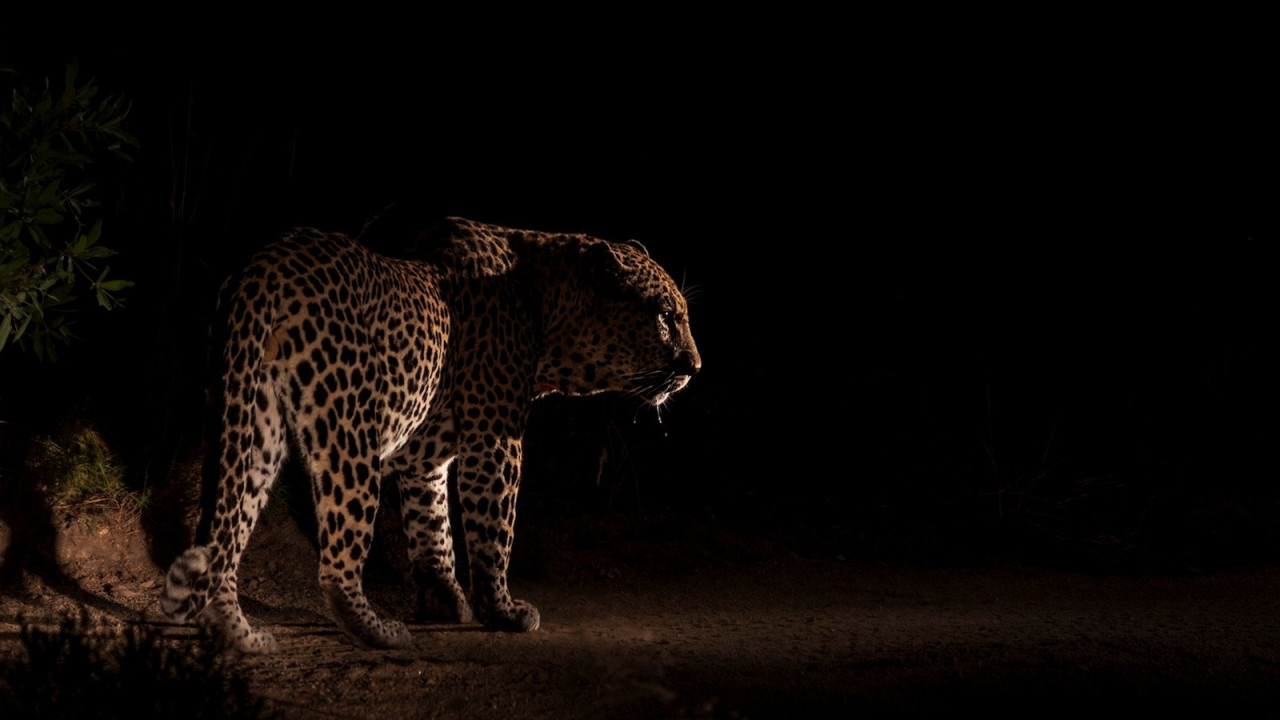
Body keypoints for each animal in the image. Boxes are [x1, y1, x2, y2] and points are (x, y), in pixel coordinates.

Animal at [160, 216, 700, 653]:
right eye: (665, 315)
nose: (694, 367)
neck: (548, 310)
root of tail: (262, 268)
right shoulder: (494, 438)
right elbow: (493, 528)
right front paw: (502, 610)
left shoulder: (424, 457)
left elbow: (433, 526)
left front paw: (445, 599)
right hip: (350, 430)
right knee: (337, 559)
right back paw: (378, 630)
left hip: (251, 421)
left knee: (227, 530)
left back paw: (240, 635)